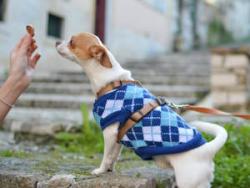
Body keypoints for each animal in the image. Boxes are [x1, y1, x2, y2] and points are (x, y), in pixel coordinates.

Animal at [55, 32, 228, 188]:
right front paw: (110, 170)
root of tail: (206, 150)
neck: (112, 82)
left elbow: (106, 156)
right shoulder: (117, 138)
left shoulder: (109, 133)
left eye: (71, 41)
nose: (56, 41)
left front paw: (100, 171)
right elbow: (113, 157)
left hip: (188, 182)